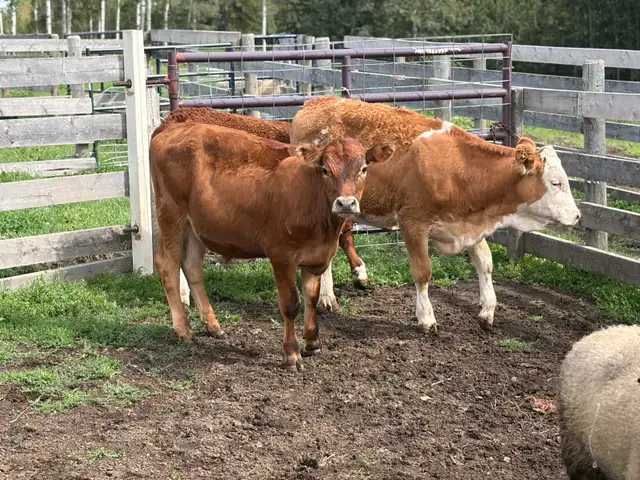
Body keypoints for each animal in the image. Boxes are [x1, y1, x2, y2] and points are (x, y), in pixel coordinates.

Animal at [149, 120, 394, 370]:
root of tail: (173, 126)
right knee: (167, 264)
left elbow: (311, 298)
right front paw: (292, 354)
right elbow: (291, 305)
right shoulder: (282, 256)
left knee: (192, 266)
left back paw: (213, 326)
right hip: (171, 214)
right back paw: (183, 330)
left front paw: (313, 343)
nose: (345, 203)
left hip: (196, 225)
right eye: (325, 170)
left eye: (363, 169)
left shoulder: (316, 257)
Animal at [290, 97, 581, 333]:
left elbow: (485, 263)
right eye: (555, 183)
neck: (458, 168)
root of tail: (314, 103)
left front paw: (487, 311)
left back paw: (330, 294)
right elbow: (423, 273)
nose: (577, 216)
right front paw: (426, 318)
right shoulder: (413, 224)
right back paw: (326, 296)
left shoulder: (470, 225)